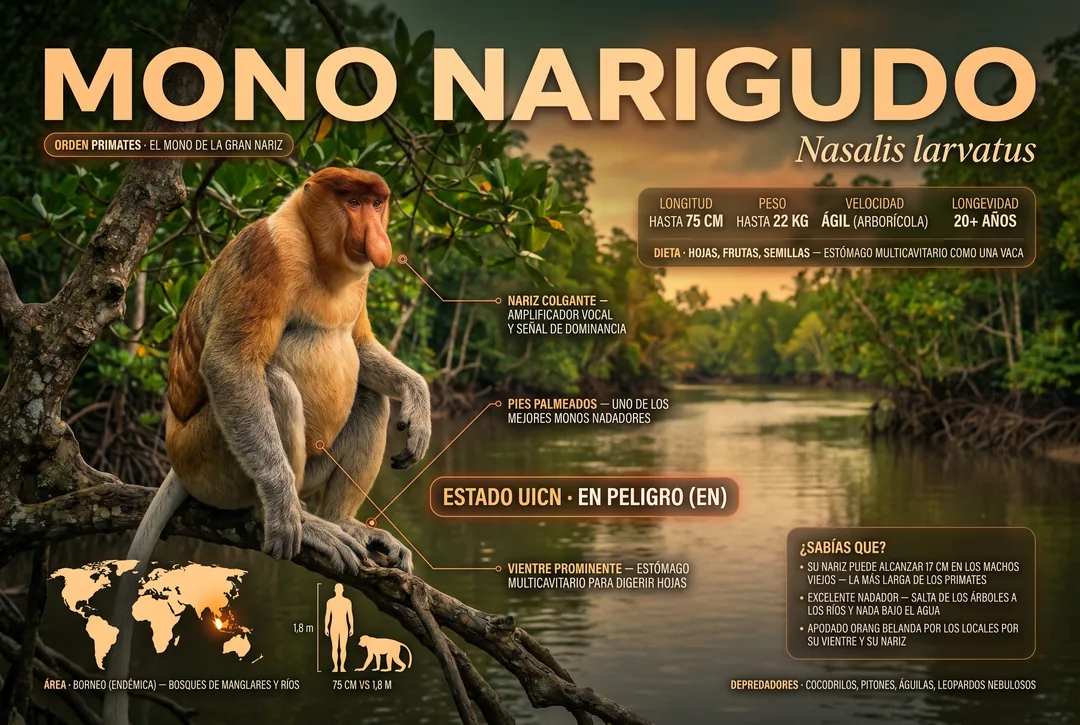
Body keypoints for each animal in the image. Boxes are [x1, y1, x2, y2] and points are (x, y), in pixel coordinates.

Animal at [102, 167, 430, 725]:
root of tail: (175, 460)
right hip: (210, 458)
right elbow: (231, 363)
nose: (376, 239)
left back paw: (343, 521)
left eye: (377, 203)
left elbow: (360, 346)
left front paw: (419, 401)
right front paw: (280, 513)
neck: (320, 257)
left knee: (367, 391)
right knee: (272, 382)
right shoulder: (268, 253)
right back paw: (293, 519)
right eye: (353, 201)